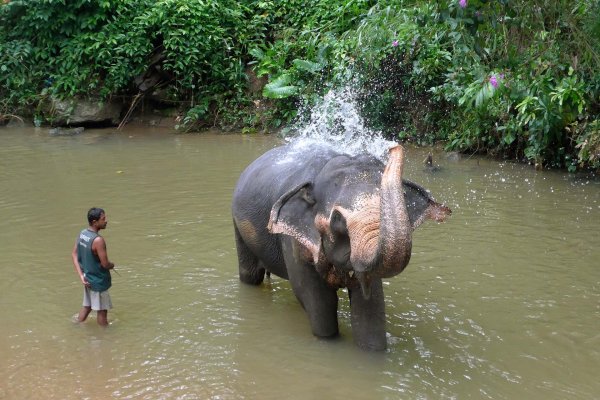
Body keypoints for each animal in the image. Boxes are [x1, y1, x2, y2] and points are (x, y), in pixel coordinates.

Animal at [232, 141, 448, 350]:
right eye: (337, 218)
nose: (393, 148)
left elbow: (371, 304)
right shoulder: (293, 242)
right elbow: (316, 298)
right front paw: (330, 341)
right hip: (238, 224)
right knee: (250, 275)